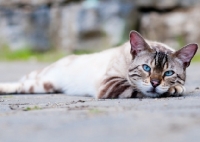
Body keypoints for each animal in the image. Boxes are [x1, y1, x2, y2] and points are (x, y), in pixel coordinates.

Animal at [0, 30, 198, 98]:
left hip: (44, 86)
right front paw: (173, 89)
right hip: (42, 78)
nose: (155, 82)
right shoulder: (110, 83)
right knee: (21, 80)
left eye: (168, 73)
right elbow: (138, 88)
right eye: (146, 68)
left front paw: (175, 87)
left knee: (20, 86)